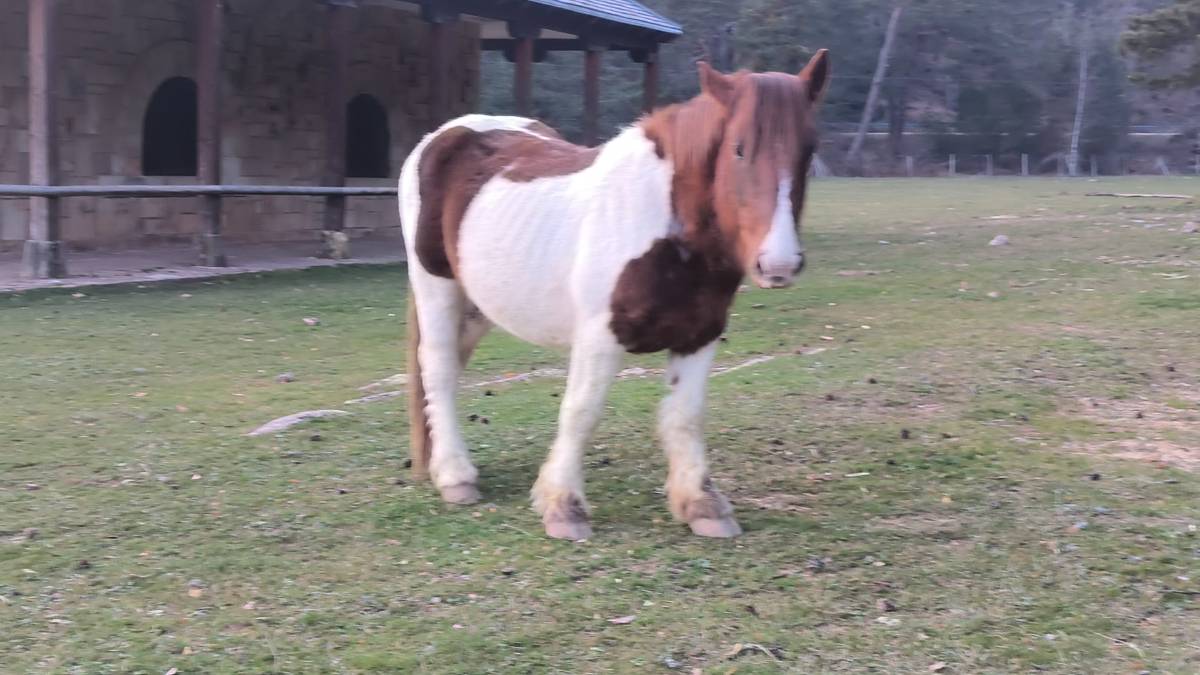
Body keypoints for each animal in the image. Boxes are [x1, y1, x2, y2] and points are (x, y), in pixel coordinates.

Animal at [398, 51, 830, 540]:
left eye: (808, 150)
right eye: (738, 148)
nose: (779, 265)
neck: (663, 227)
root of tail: (445, 135)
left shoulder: (700, 334)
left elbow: (685, 415)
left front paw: (702, 505)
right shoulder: (599, 336)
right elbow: (581, 411)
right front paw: (563, 507)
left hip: (476, 307)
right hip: (437, 287)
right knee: (438, 370)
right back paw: (455, 476)